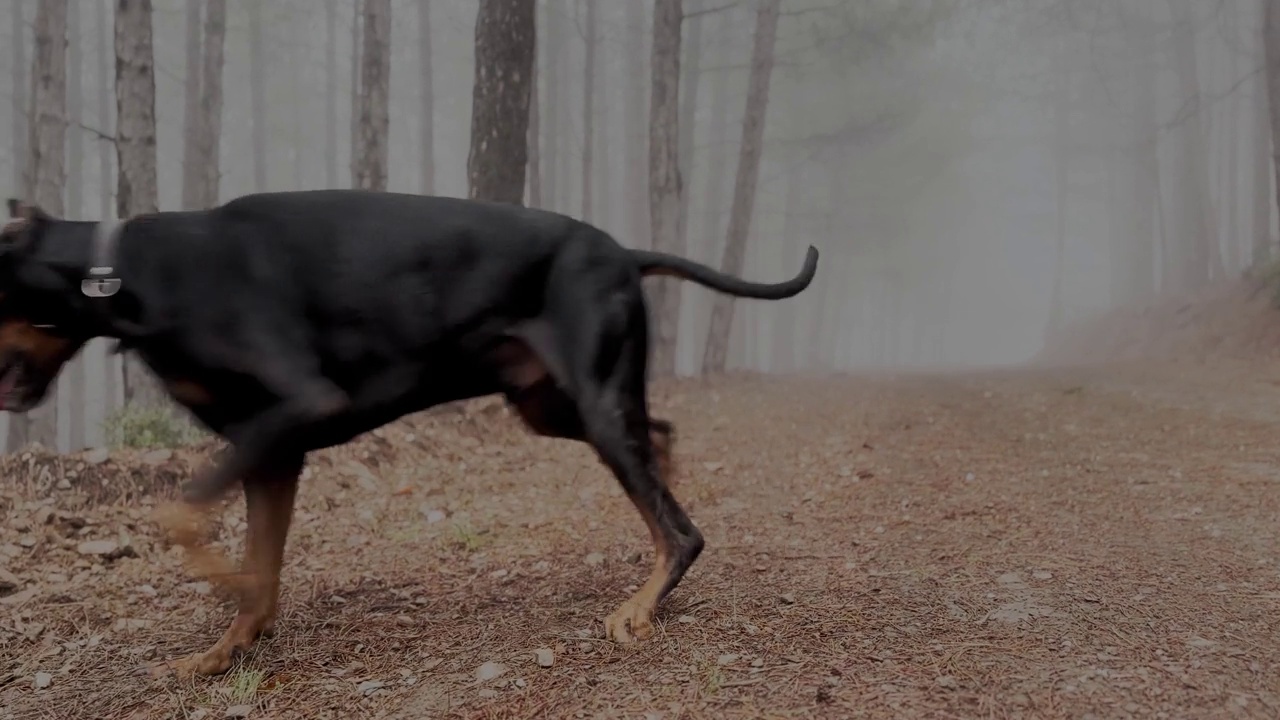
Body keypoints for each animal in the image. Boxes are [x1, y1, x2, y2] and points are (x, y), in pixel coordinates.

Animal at [0, 189, 819, 671]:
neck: (123, 270)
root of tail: (623, 251)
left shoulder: (299, 408)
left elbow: (178, 514)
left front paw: (226, 586)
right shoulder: (273, 448)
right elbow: (261, 565)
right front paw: (228, 646)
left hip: (589, 402)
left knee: (683, 528)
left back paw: (643, 604)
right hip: (553, 406)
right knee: (661, 440)